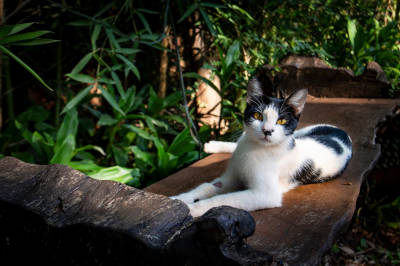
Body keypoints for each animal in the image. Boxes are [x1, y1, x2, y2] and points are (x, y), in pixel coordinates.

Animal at [170, 76, 352, 217]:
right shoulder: (231, 177)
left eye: (281, 120)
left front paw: (192, 209)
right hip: (303, 132)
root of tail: (342, 132)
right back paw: (213, 146)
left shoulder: (266, 195)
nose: (267, 131)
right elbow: (206, 186)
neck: (253, 148)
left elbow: (223, 199)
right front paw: (178, 199)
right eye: (257, 115)